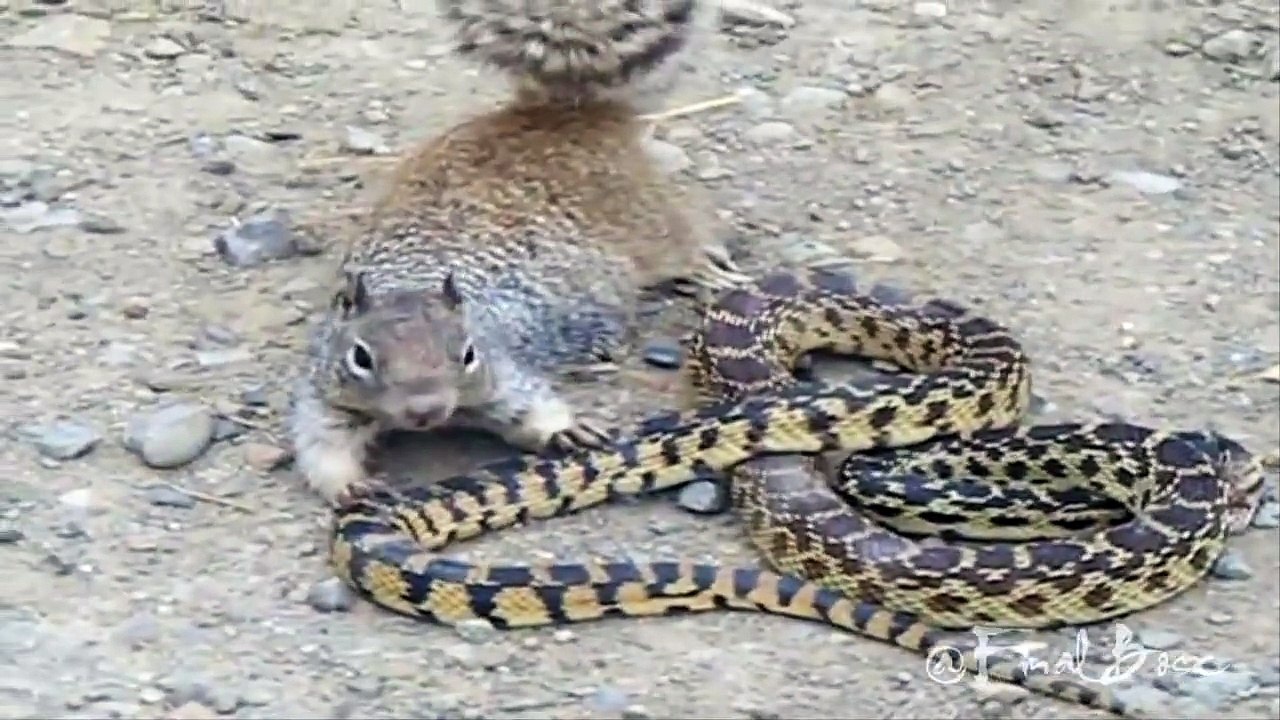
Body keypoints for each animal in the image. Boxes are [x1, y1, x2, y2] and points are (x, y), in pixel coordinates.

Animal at [288, 0, 749, 506]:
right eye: (361, 358)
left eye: (468, 353)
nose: (425, 412)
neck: (410, 283)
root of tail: (566, 115)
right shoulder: (325, 395)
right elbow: (321, 441)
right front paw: (348, 483)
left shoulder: (505, 372)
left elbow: (531, 405)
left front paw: (565, 430)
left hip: (651, 221)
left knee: (687, 234)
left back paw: (708, 268)